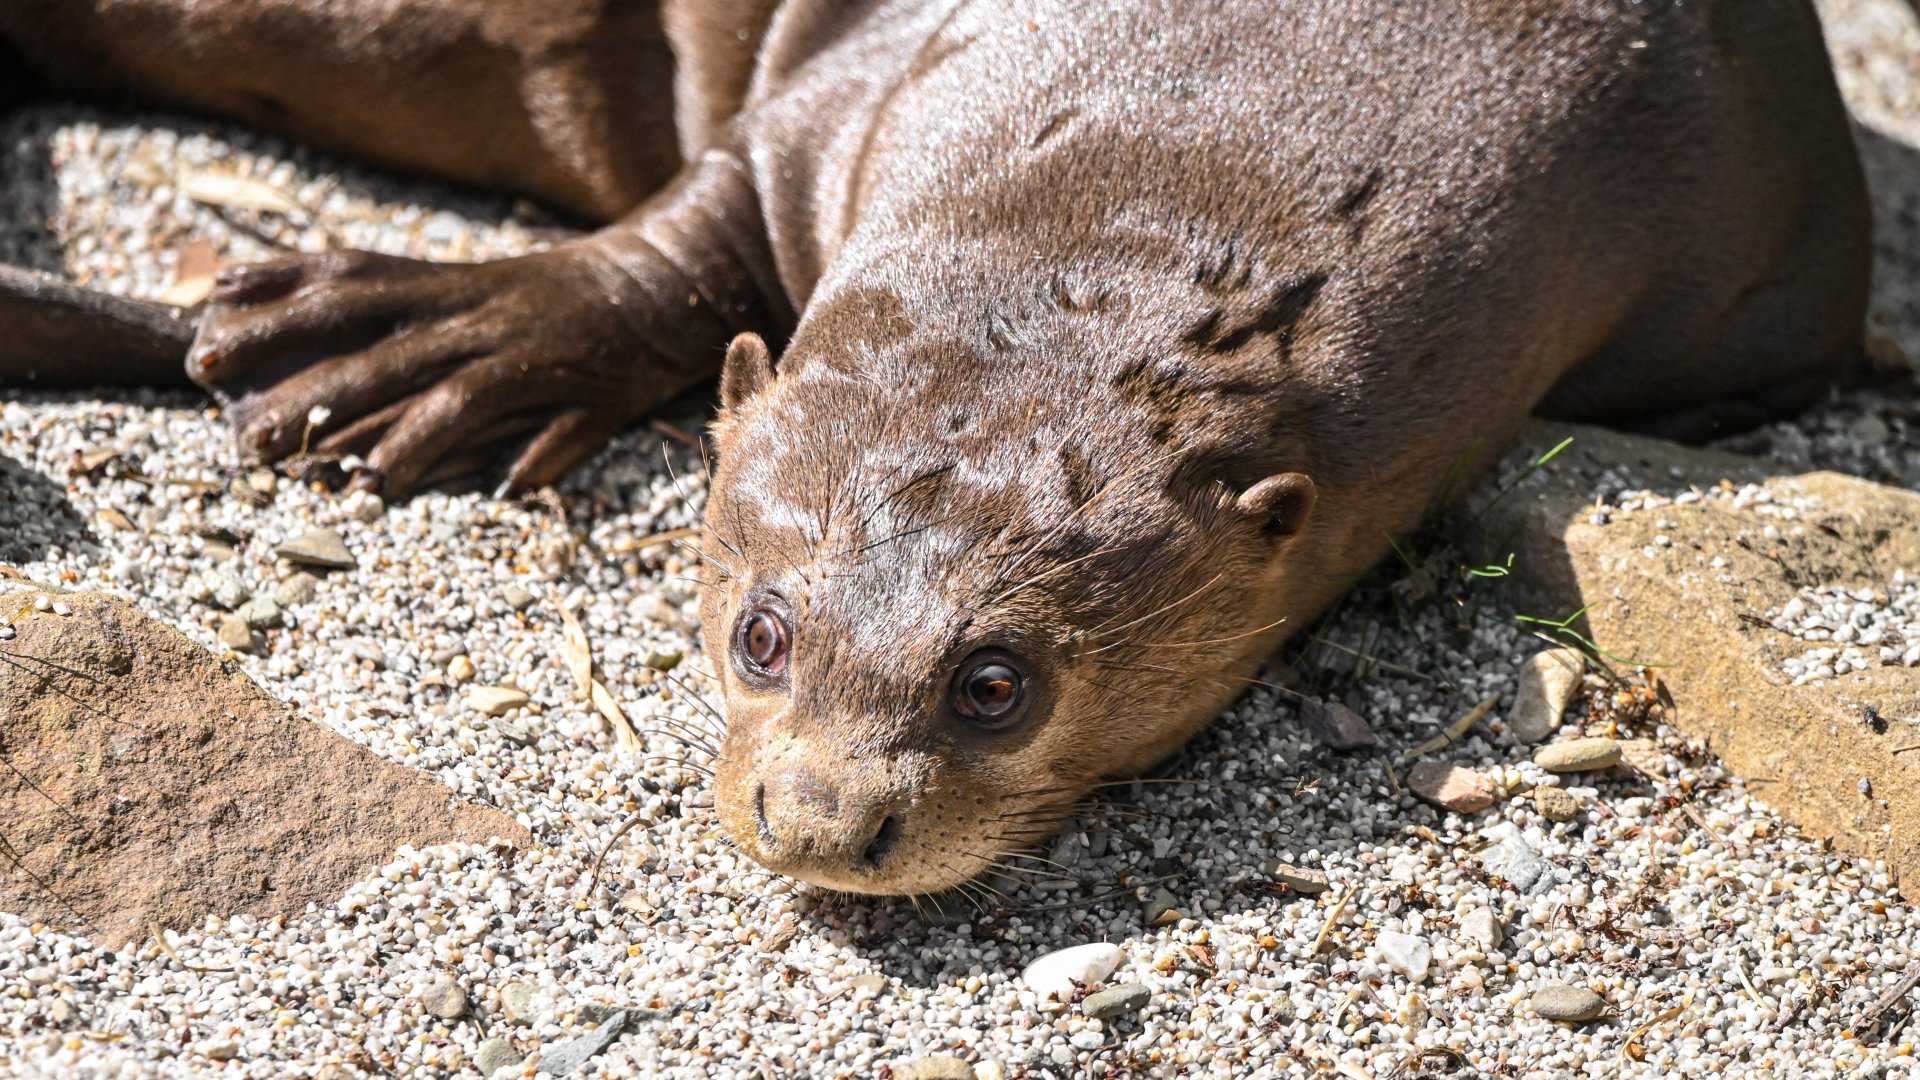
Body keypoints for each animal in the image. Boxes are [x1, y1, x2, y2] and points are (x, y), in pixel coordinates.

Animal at [0, 1, 1870, 895]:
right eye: (759, 632)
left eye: (995, 686)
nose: (819, 823)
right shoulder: (851, 89)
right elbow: (693, 227)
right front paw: (446, 344)